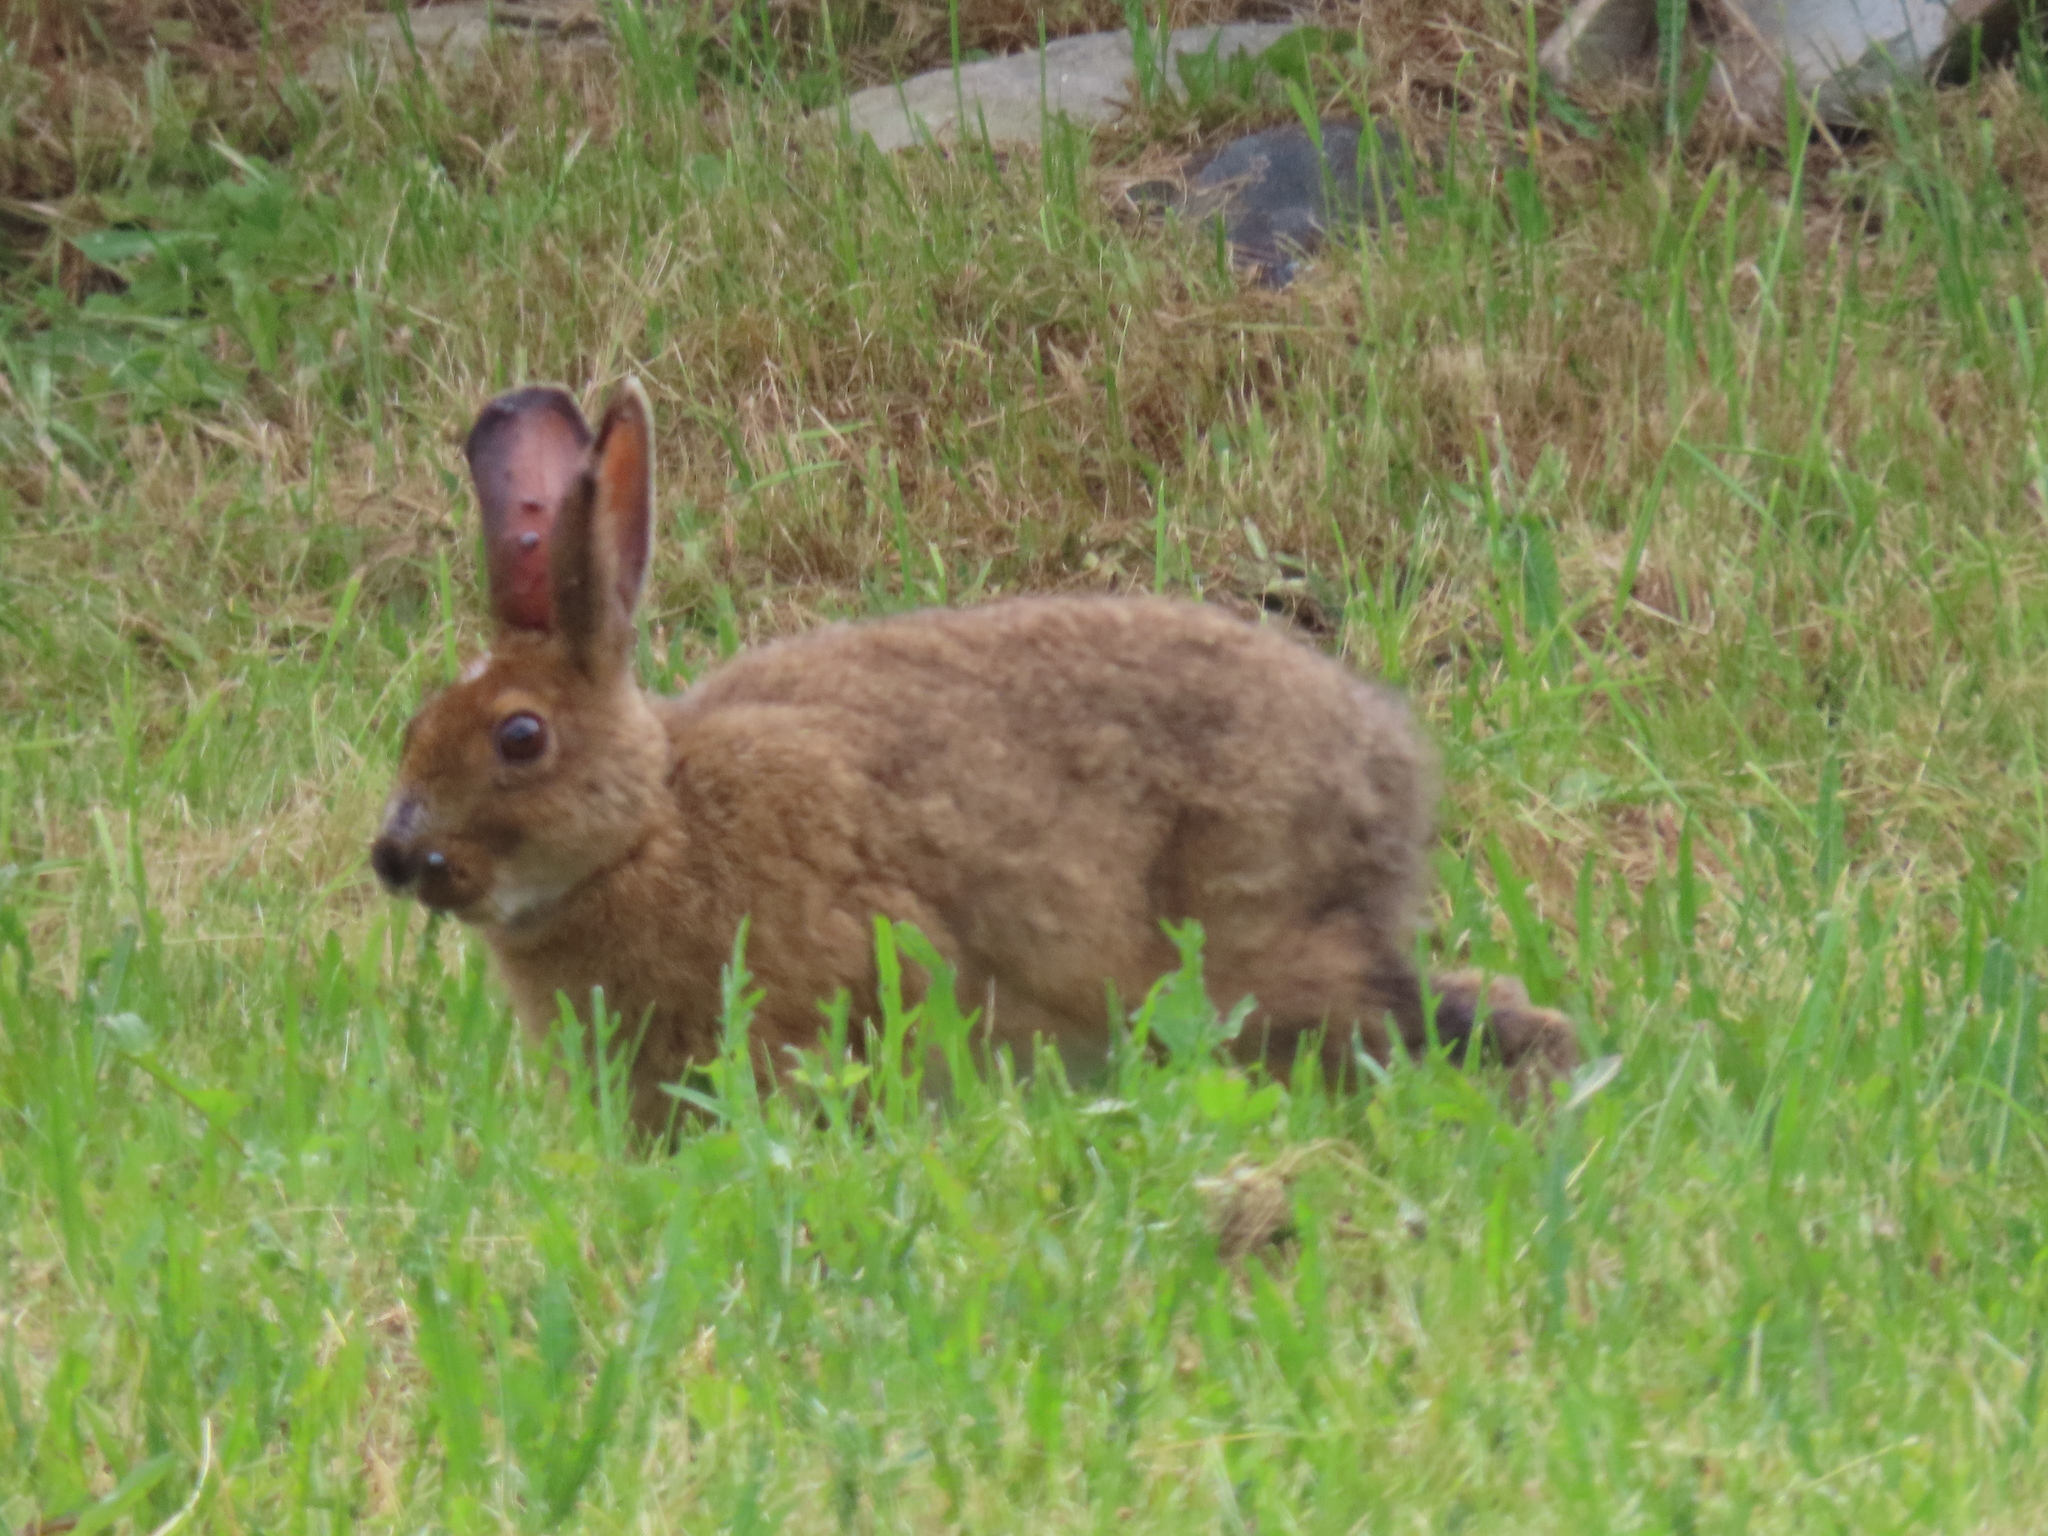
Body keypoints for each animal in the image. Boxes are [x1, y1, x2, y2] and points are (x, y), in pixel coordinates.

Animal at [372, 385, 1581, 1130]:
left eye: (519, 738)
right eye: (414, 729)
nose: (395, 856)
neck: (651, 825)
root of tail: (1387, 761)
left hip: (1254, 944)